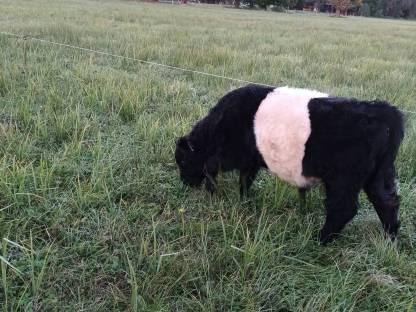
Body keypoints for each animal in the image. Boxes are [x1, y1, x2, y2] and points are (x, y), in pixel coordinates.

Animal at [176, 84, 404, 244]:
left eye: (183, 160)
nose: (185, 183)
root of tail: (381, 110)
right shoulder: (250, 160)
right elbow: (245, 179)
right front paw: (244, 199)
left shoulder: (229, 155)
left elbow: (210, 167)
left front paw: (213, 192)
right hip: (379, 174)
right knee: (387, 201)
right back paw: (390, 238)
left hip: (343, 178)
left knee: (343, 209)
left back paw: (320, 240)